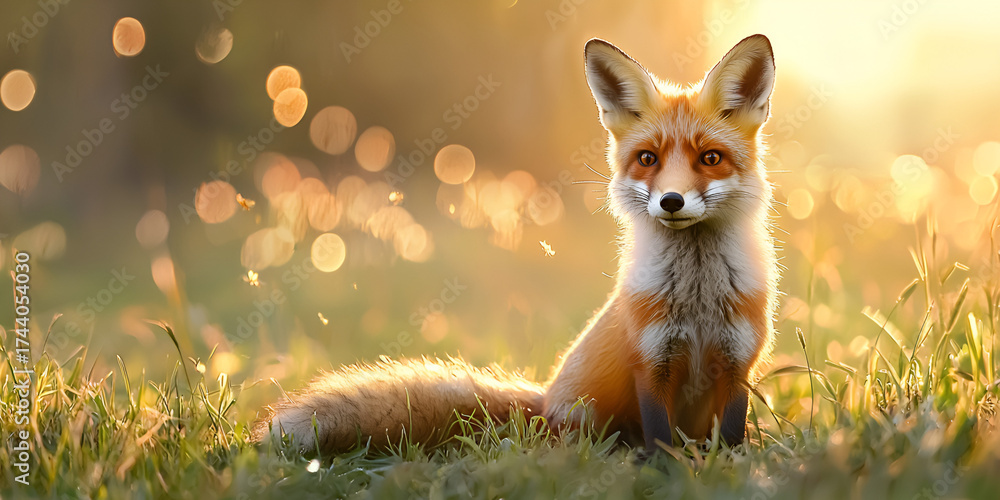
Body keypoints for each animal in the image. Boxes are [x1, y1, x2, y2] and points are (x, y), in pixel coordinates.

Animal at [256, 34, 778, 454]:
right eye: (648, 159)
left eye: (710, 158)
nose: (671, 201)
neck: (697, 298)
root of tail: (544, 401)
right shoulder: (651, 362)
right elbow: (662, 442)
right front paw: (667, 472)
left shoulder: (737, 364)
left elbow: (731, 439)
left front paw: (727, 470)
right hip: (584, 418)